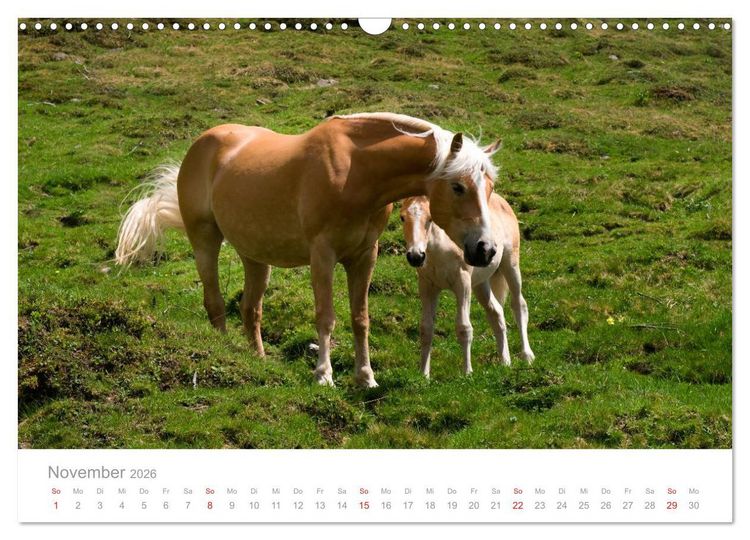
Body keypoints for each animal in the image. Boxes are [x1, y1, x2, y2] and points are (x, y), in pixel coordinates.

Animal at [115, 112, 501, 387]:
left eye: (490, 188)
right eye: (458, 187)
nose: (485, 250)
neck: (357, 171)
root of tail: (202, 144)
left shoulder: (364, 256)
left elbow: (360, 318)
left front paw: (366, 377)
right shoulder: (323, 255)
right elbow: (326, 316)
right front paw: (323, 375)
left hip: (255, 257)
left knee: (250, 309)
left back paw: (259, 361)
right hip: (205, 240)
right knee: (214, 302)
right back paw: (224, 352)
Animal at [399, 194, 534, 378]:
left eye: (430, 219)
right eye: (402, 217)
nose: (415, 256)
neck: (440, 249)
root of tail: (500, 199)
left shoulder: (462, 283)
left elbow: (464, 327)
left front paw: (467, 372)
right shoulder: (427, 286)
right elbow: (426, 329)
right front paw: (424, 375)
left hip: (510, 265)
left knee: (519, 305)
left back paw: (527, 355)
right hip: (480, 284)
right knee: (496, 312)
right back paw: (505, 362)